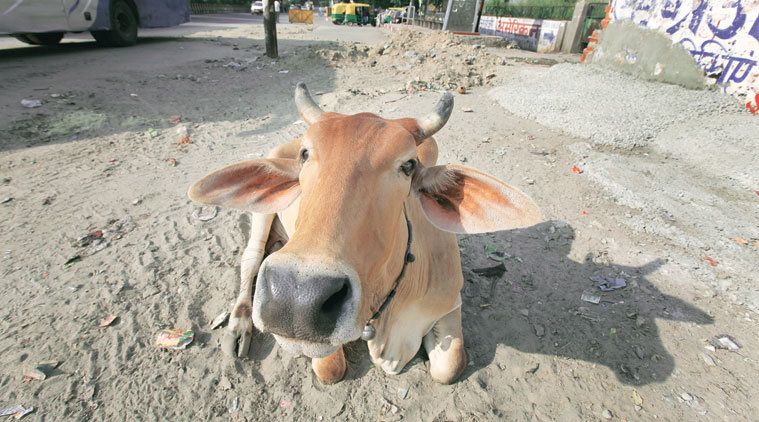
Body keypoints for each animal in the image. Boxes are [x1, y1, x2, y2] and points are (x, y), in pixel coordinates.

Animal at [188, 83, 540, 384]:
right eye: (305, 154)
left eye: (408, 165)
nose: (296, 299)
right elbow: (331, 368)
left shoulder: (451, 303)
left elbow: (450, 368)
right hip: (263, 214)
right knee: (250, 261)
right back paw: (238, 328)